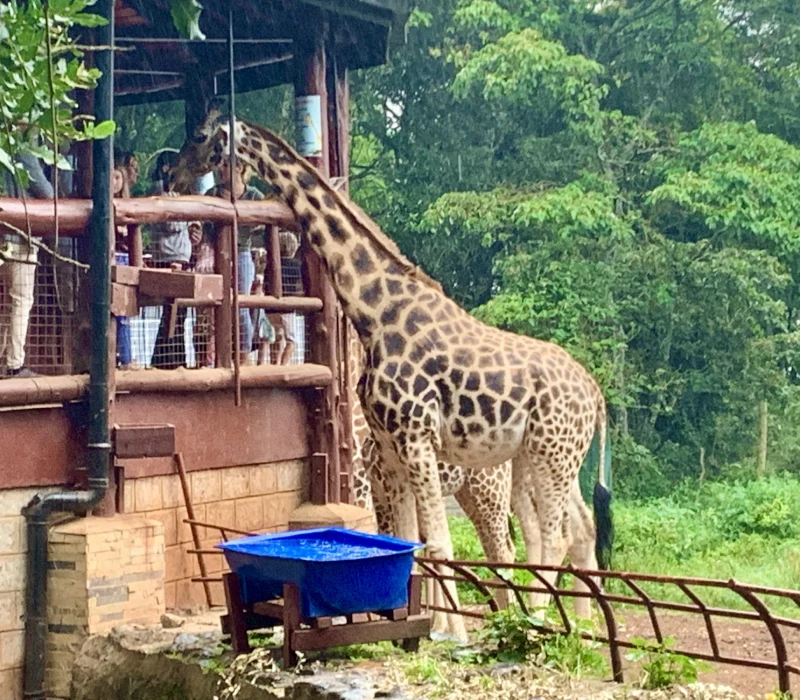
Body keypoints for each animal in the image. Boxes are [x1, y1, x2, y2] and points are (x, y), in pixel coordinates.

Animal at [170, 108, 613, 640]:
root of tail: (597, 394)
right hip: (535, 457)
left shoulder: (414, 436)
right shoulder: (389, 448)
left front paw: (452, 636)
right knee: (567, 532)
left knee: (553, 536)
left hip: (547, 457)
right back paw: (569, 628)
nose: (173, 176)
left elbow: (436, 546)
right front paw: (420, 626)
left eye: (199, 136)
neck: (374, 315)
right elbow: (406, 547)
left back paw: (539, 624)